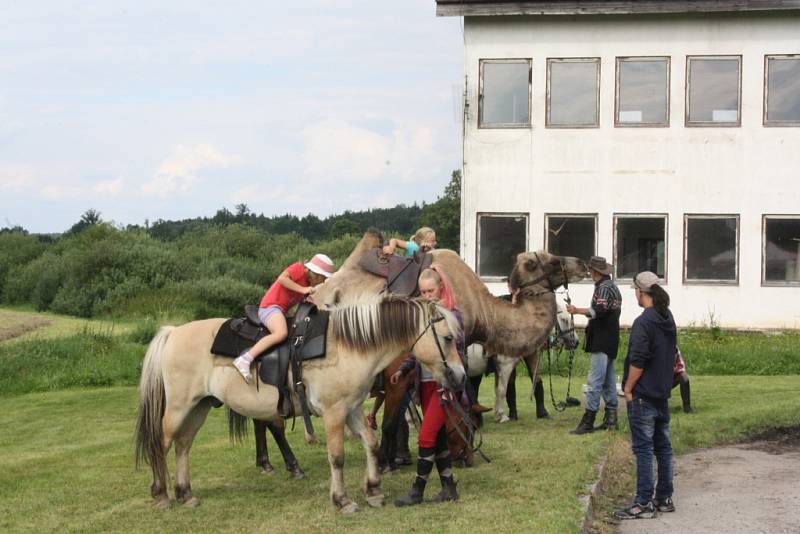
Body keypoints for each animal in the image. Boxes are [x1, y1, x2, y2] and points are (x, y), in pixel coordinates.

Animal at [134, 294, 466, 516]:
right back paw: (161, 494)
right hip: (179, 407)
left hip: (199, 407)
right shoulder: (334, 412)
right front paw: (343, 500)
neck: (349, 346)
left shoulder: (352, 409)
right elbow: (337, 457)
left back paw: (185, 493)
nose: (460, 376)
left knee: (183, 446)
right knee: (162, 443)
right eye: (448, 338)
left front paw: (373, 490)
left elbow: (371, 444)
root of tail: (173, 332)